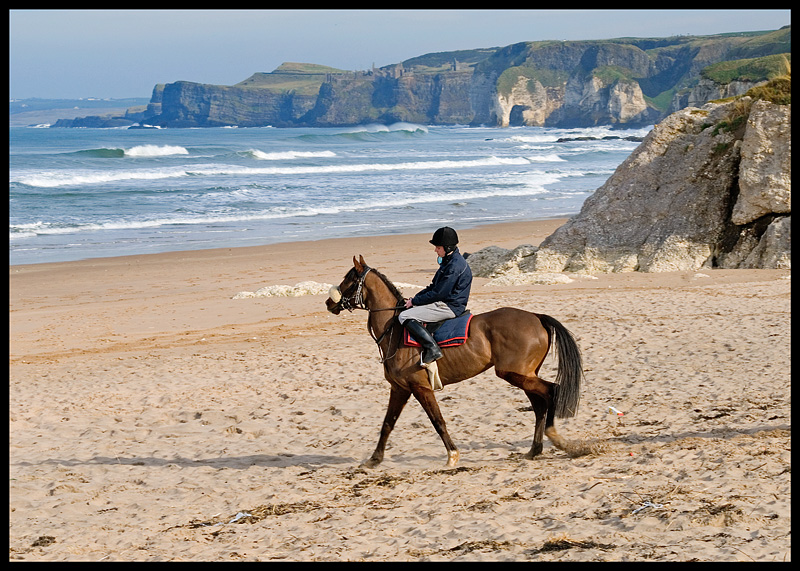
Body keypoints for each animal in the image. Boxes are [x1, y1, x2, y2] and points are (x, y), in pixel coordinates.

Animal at [324, 256, 580, 470]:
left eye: (349, 281)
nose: (328, 303)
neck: (394, 329)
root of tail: (536, 316)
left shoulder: (420, 387)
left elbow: (437, 421)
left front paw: (453, 455)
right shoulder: (399, 389)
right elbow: (388, 423)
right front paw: (374, 459)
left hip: (515, 374)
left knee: (551, 391)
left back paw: (555, 437)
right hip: (524, 375)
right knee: (539, 403)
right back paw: (535, 450)